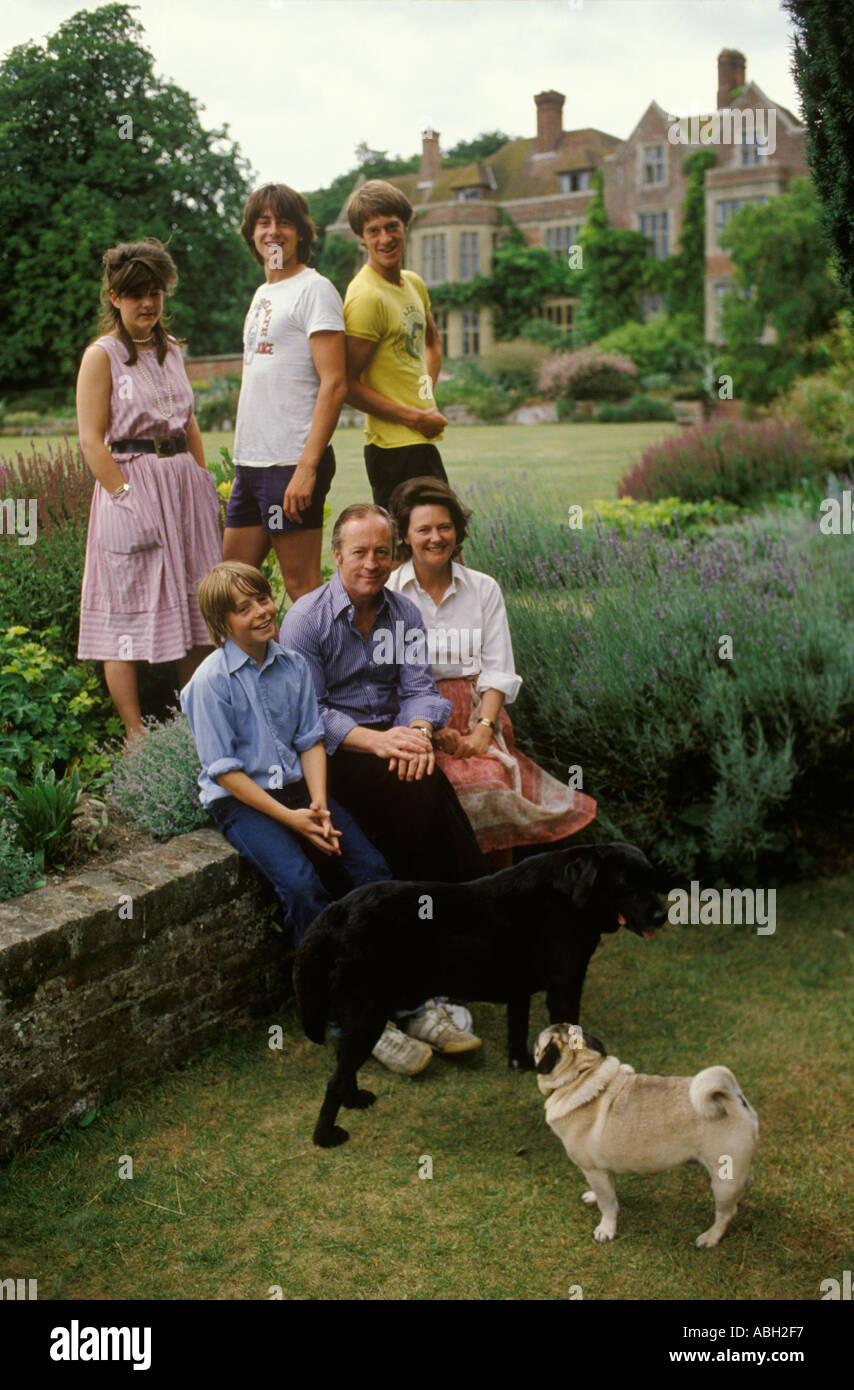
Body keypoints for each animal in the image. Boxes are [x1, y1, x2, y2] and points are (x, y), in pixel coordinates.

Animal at [294, 839, 670, 1145]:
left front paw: (524, 1065)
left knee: (343, 1064)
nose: (662, 915)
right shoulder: (565, 985)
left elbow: (518, 1030)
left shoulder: (520, 992)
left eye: (653, 882)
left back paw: (354, 1101)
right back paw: (324, 1137)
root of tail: (336, 911)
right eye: (628, 885)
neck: (571, 897)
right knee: (335, 1078)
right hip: (369, 1013)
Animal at [534, 1023, 762, 1251]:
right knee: (744, 1185)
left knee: (726, 1213)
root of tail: (734, 1098)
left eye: (537, 1044)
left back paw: (711, 1237)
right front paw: (594, 1197)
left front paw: (606, 1229)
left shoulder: (593, 1170)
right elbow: (609, 1192)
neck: (581, 1075)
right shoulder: (604, 1169)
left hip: (723, 1178)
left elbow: (607, 1204)